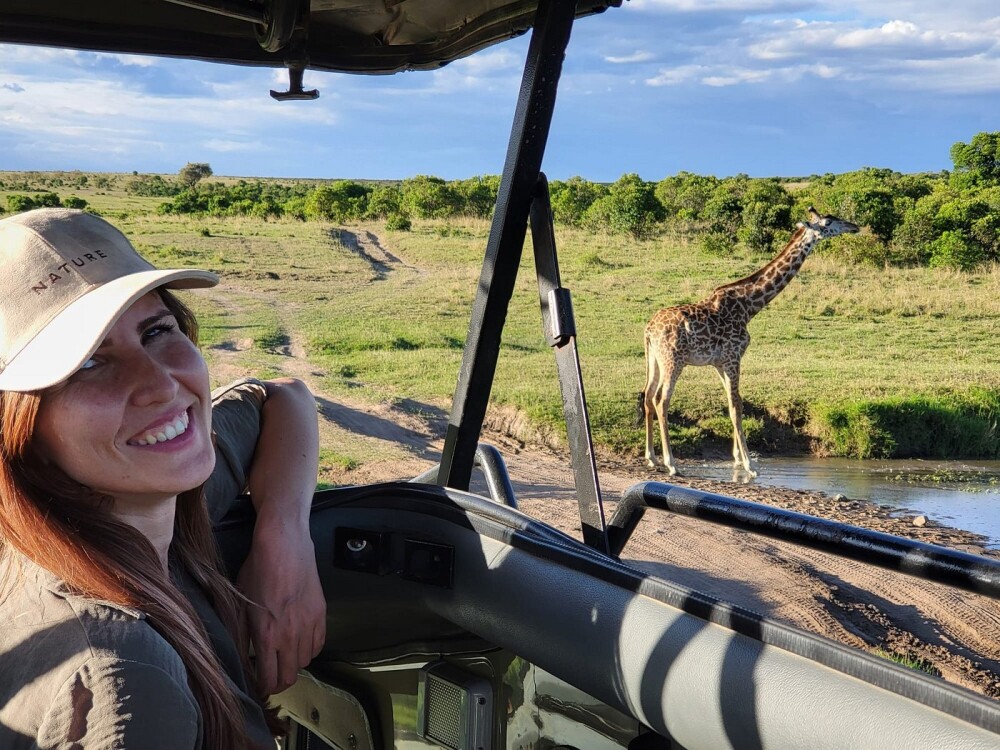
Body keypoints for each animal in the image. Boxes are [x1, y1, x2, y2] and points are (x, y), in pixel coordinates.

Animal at [641, 207, 859, 477]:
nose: (854, 227)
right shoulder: (733, 357)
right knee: (661, 400)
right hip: (674, 360)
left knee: (648, 395)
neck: (749, 307)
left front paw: (737, 458)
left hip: (654, 359)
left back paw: (651, 457)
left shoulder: (721, 362)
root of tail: (649, 329)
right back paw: (671, 463)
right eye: (829, 223)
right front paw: (750, 464)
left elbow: (734, 403)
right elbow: (736, 406)